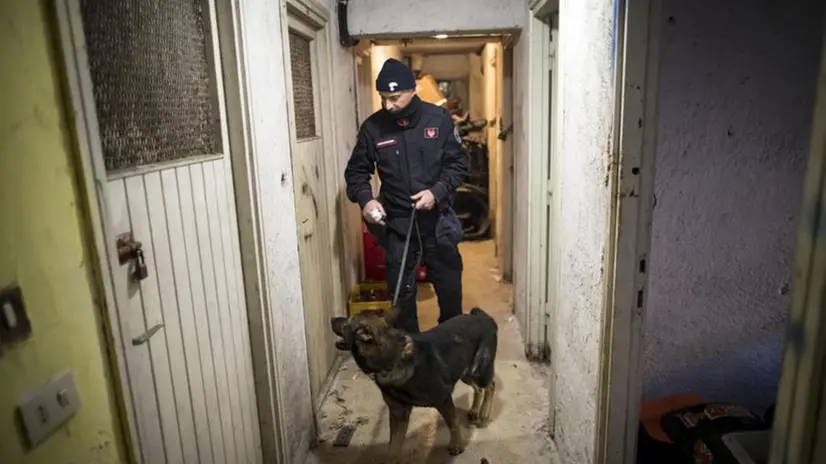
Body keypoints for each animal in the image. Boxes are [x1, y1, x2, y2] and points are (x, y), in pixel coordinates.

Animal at [328, 304, 496, 460]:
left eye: (346, 322)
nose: (331, 318)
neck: (392, 359)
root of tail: (483, 317)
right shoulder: (398, 413)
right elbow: (394, 446)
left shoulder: (443, 399)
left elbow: (453, 423)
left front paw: (456, 444)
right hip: (464, 372)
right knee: (478, 389)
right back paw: (474, 410)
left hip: (478, 370)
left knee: (490, 385)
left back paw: (484, 413)